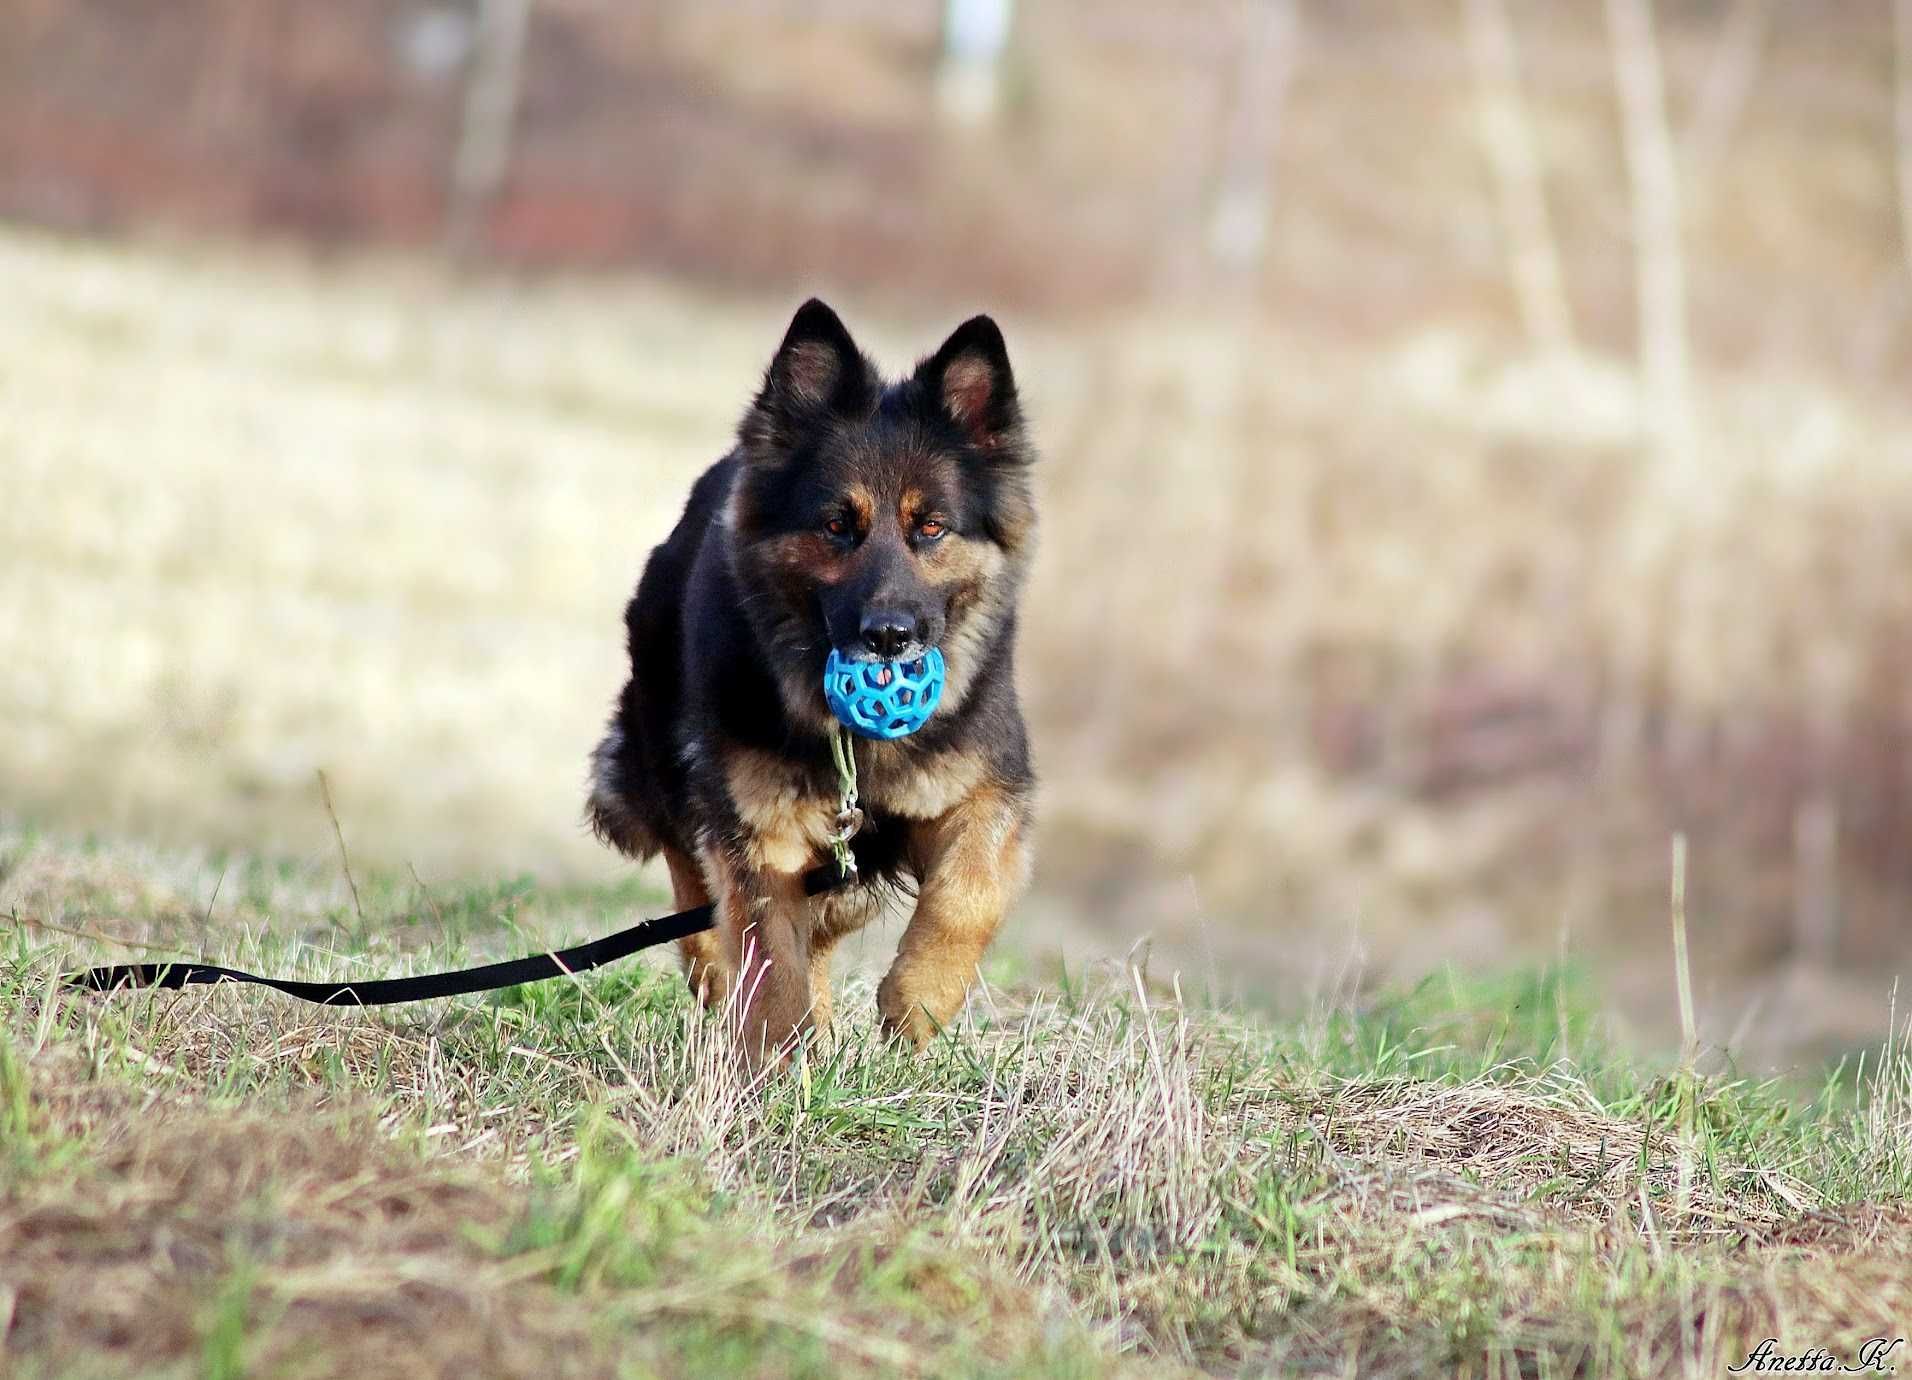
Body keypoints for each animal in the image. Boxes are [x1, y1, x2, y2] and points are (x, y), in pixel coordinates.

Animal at [588, 301, 1040, 1055]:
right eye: (836, 524)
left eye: (931, 526)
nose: (888, 637)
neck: (860, 744)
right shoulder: (758, 826)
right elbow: (770, 955)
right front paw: (776, 1057)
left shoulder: (984, 790)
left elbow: (967, 893)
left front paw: (918, 1000)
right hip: (668, 747)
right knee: (690, 863)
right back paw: (715, 969)